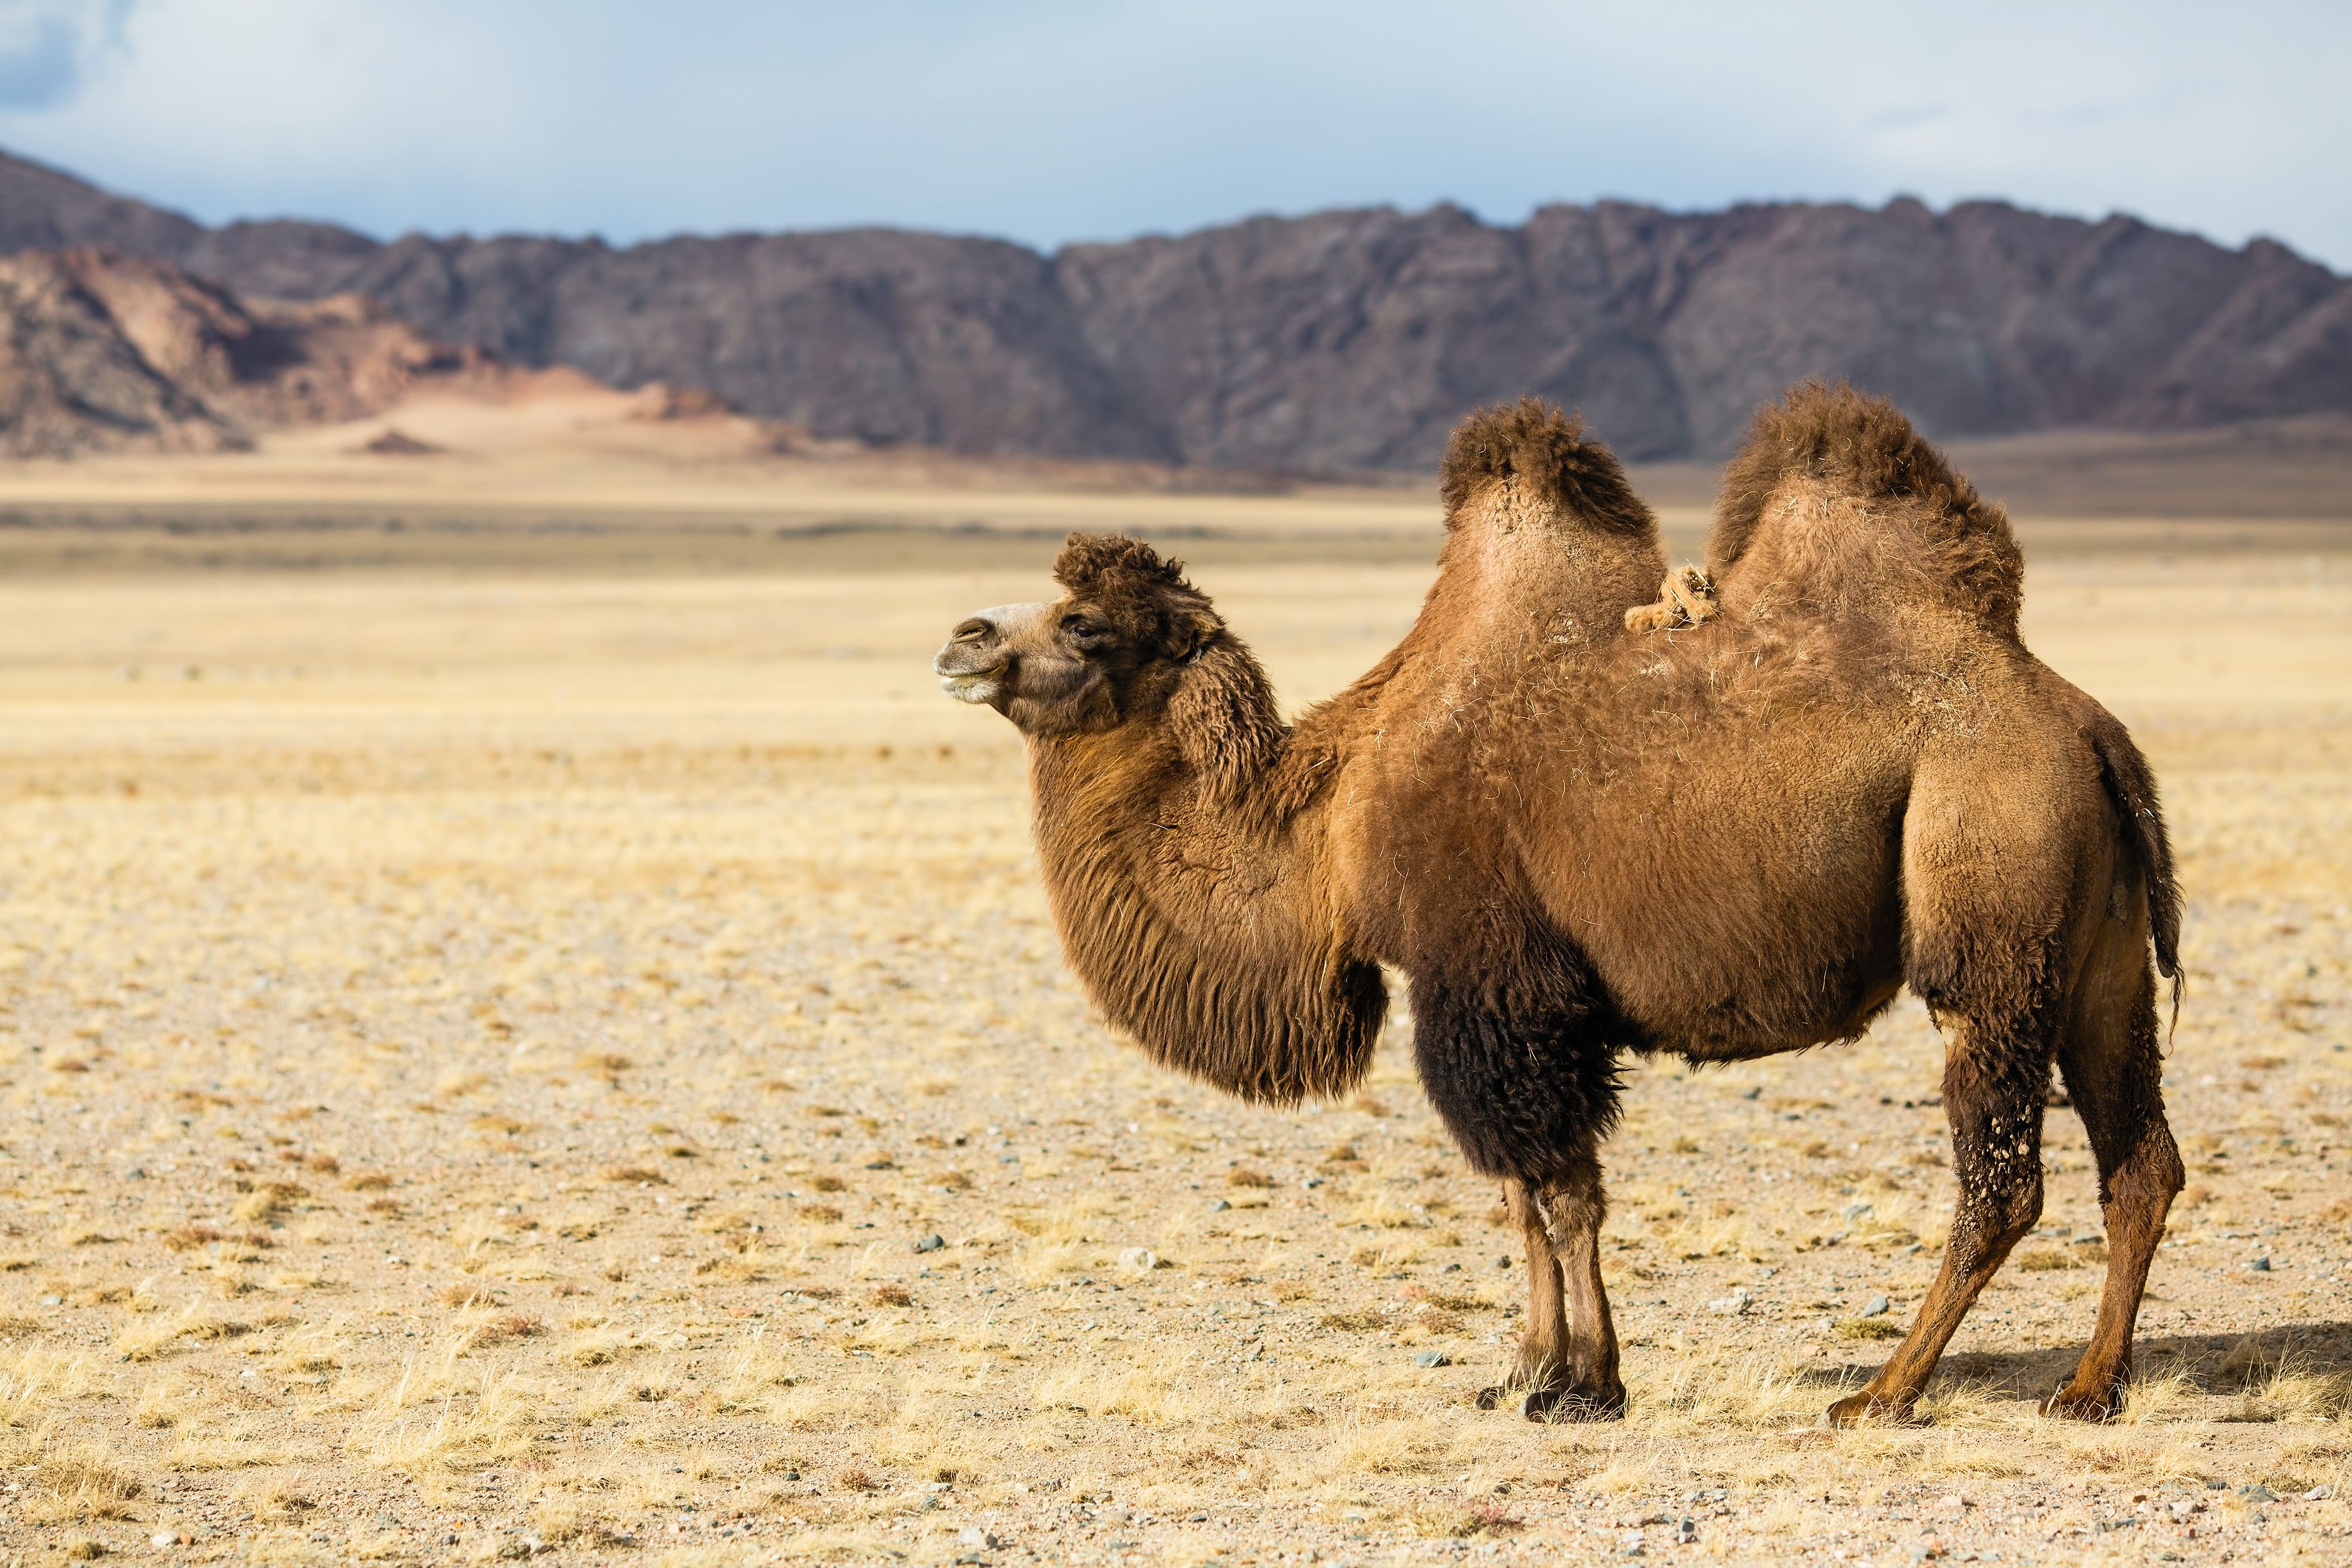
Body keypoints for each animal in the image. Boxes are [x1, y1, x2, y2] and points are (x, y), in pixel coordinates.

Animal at [932, 383, 2184, 1425]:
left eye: (1085, 623)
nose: (962, 637)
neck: (1330, 818)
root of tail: (2087, 726)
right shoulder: (1497, 1002)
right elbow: (1518, 1197)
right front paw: (1528, 1369)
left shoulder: (1498, 987)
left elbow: (1559, 1190)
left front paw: (1580, 1384)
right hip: (2098, 956)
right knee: (2142, 1161)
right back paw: (2087, 1387)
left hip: (1993, 895)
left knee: (2004, 1175)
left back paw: (1884, 1391)